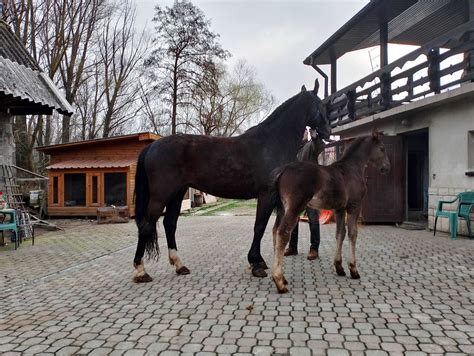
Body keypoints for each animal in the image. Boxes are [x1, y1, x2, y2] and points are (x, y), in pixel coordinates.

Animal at [132, 79, 330, 282]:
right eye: (321, 104)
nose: (327, 131)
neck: (272, 142)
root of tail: (152, 146)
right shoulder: (266, 195)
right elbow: (259, 227)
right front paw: (256, 264)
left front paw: (259, 262)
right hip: (161, 196)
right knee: (146, 225)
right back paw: (141, 271)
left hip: (177, 194)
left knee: (169, 224)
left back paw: (180, 265)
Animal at [270, 129, 388, 294]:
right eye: (382, 148)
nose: (387, 167)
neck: (352, 169)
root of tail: (283, 169)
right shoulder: (354, 205)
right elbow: (352, 234)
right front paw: (353, 269)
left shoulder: (340, 209)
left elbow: (340, 233)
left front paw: (339, 267)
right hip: (294, 207)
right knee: (283, 232)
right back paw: (279, 281)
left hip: (282, 208)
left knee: (275, 231)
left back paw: (283, 278)